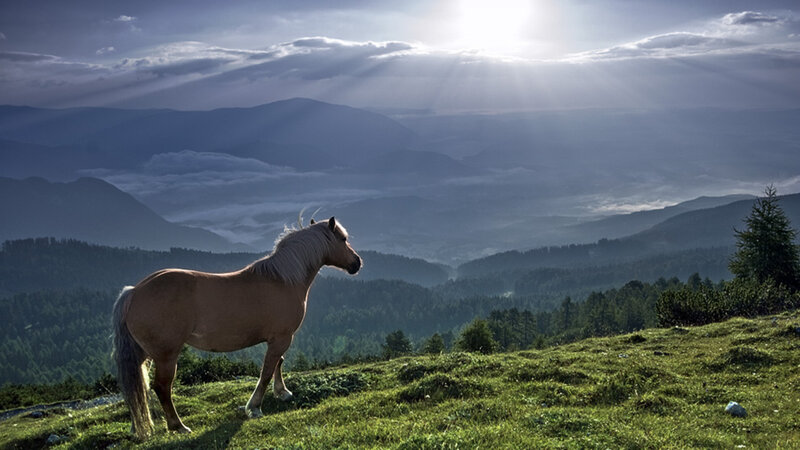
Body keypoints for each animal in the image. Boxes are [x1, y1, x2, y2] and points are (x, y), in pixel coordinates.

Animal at [111, 217, 361, 439]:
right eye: (343, 239)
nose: (357, 263)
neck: (282, 280)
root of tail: (133, 292)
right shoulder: (282, 338)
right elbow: (267, 371)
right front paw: (255, 407)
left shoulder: (279, 339)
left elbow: (278, 363)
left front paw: (282, 392)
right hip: (166, 356)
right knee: (162, 387)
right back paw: (178, 426)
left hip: (144, 354)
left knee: (137, 387)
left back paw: (138, 427)